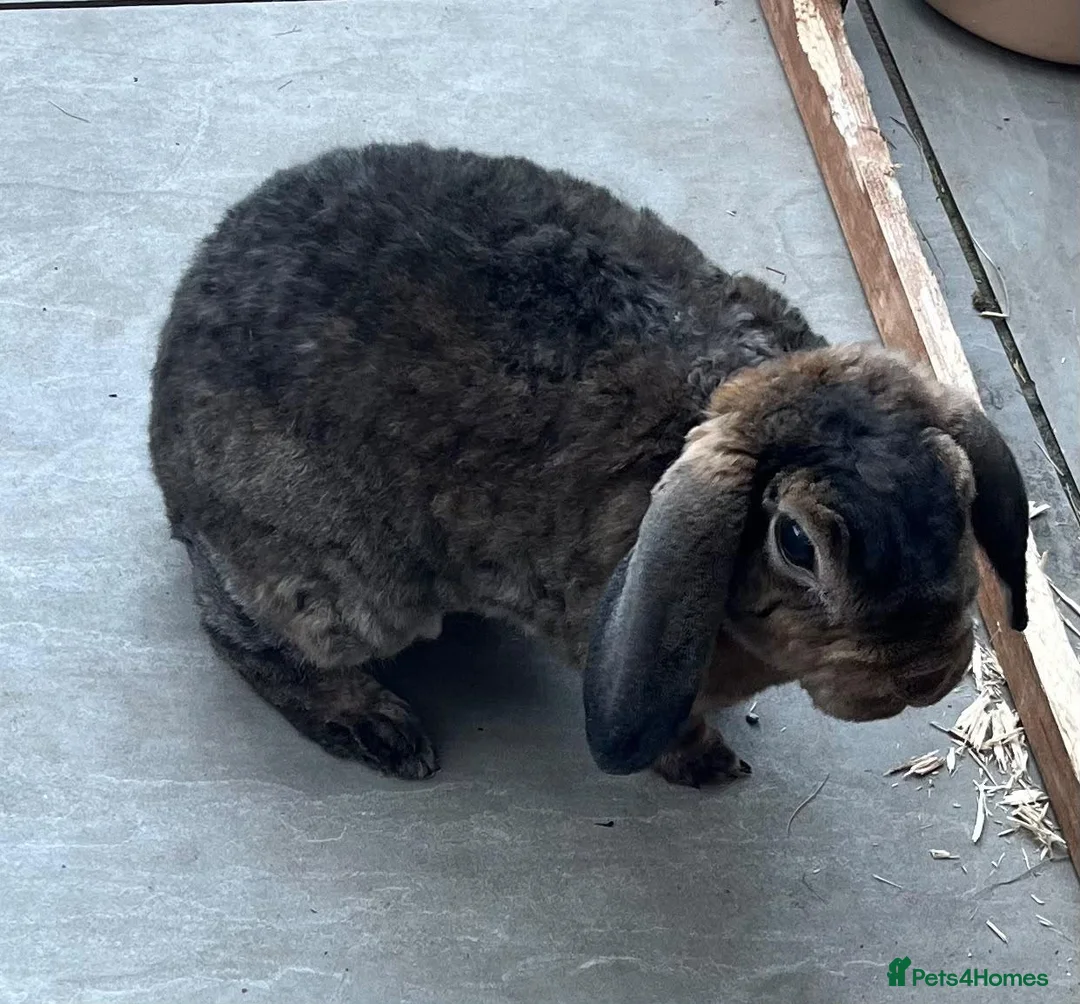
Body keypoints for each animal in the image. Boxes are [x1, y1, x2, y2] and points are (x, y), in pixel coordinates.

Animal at [149, 142, 1029, 785]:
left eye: (961, 493)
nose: (920, 675)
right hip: (341, 590)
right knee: (244, 635)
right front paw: (708, 767)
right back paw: (377, 728)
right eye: (796, 543)